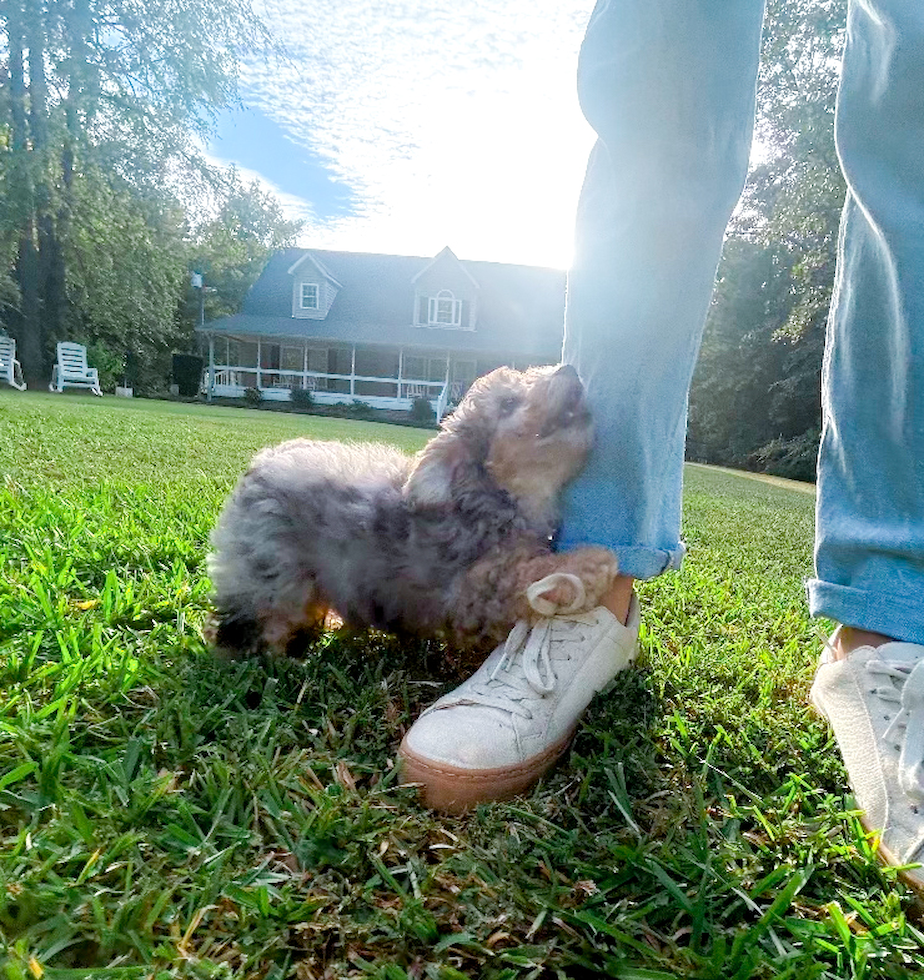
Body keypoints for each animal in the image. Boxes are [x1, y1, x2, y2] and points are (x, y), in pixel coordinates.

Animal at [206, 366, 616, 660]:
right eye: (508, 404)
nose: (570, 369)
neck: (495, 500)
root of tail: (258, 466)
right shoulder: (474, 592)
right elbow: (532, 572)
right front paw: (594, 560)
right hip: (275, 574)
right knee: (258, 624)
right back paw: (278, 662)